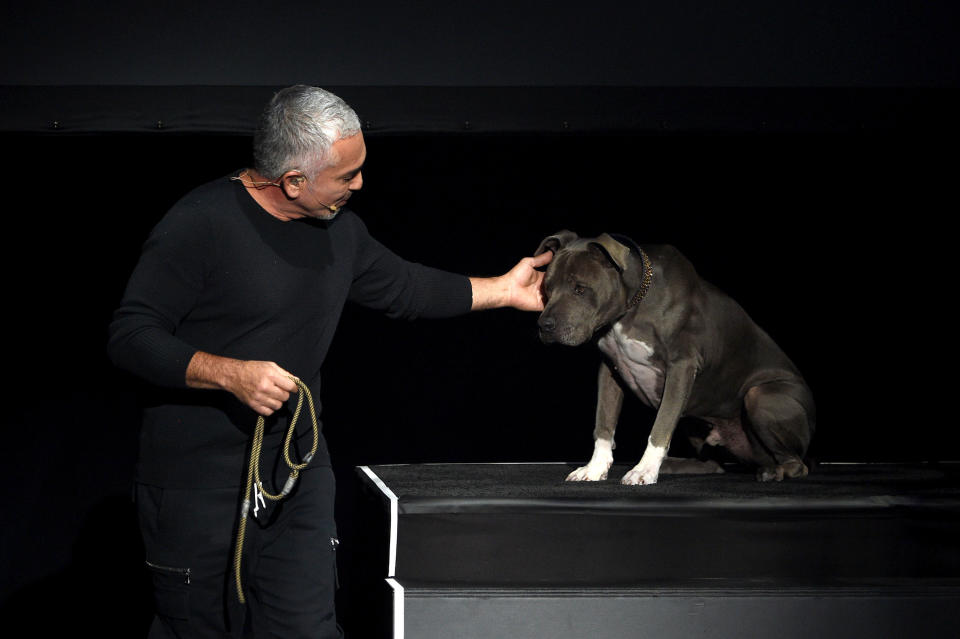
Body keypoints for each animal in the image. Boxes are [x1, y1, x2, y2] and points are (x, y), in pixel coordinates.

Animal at [536, 230, 812, 484]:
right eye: (547, 288)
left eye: (580, 289)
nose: (544, 325)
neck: (633, 304)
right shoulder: (609, 369)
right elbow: (603, 422)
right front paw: (594, 468)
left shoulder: (682, 366)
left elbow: (661, 425)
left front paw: (644, 470)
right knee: (713, 463)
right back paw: (674, 465)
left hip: (761, 396)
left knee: (797, 464)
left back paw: (773, 471)